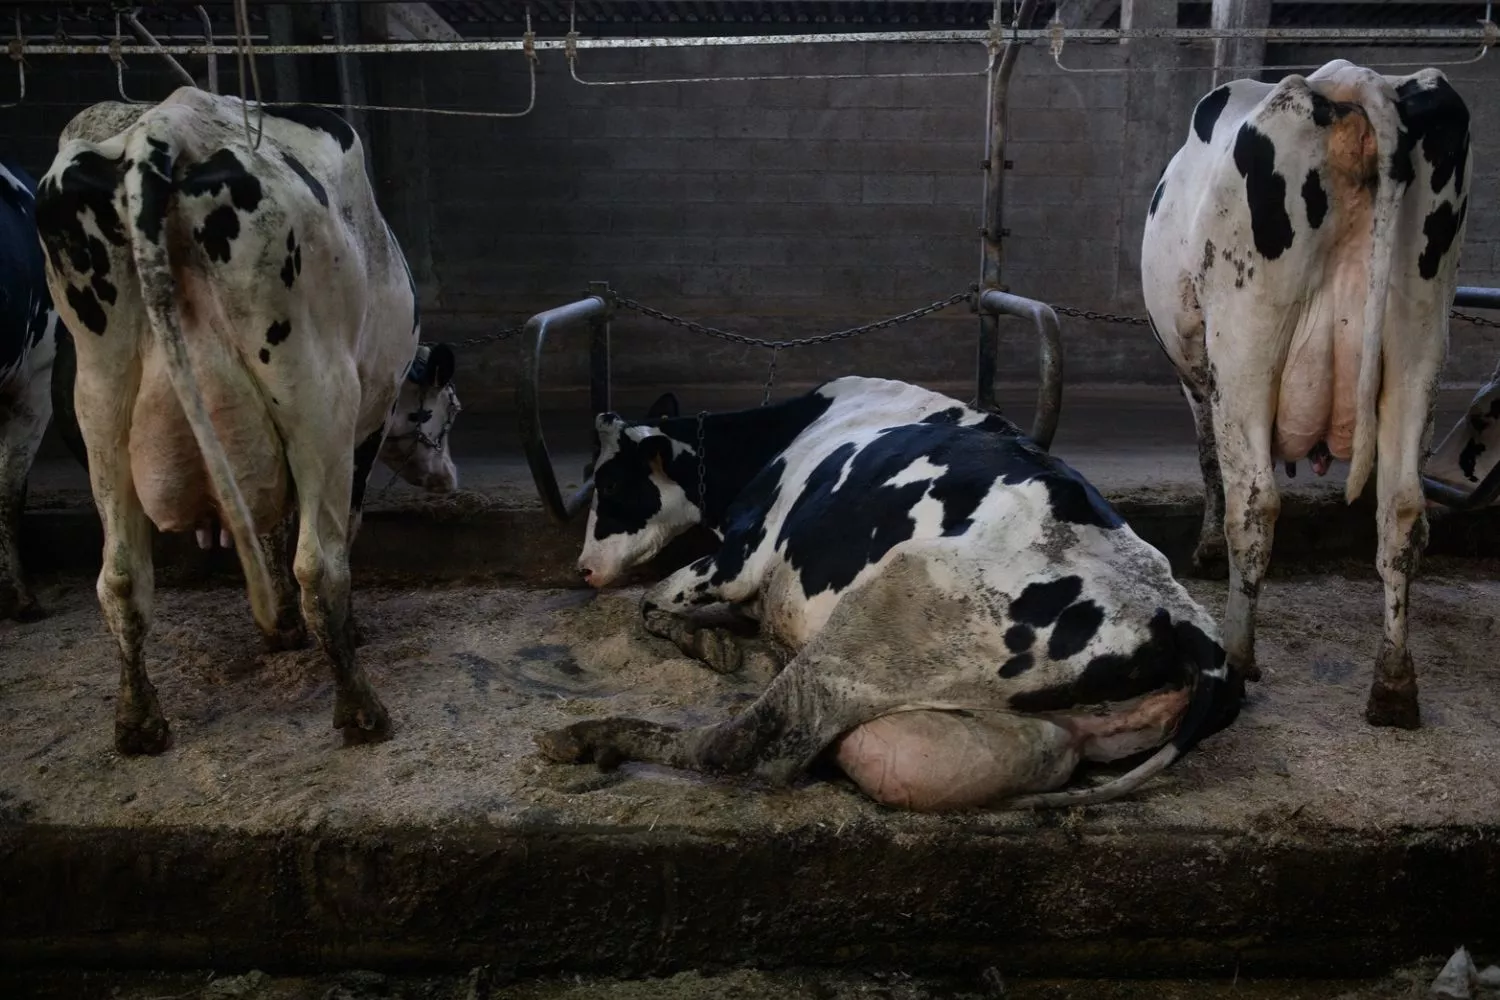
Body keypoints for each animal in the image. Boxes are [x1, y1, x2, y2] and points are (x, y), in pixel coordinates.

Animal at [33, 87, 455, 753]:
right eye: (446, 410)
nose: (448, 479)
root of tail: (165, 124)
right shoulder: (364, 426)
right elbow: (326, 534)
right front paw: (323, 628)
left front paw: (279, 626)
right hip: (315, 397)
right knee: (319, 566)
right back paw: (361, 711)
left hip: (101, 408)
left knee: (121, 578)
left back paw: (139, 723)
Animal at [534, 377, 1242, 811]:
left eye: (611, 484)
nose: (583, 568)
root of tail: (1183, 619)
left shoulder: (742, 554)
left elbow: (653, 601)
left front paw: (711, 645)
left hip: (888, 606)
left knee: (754, 743)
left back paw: (588, 737)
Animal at [1141, 59, 1471, 730]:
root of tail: (1357, 84)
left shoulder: (1199, 374)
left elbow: (1209, 460)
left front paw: (1205, 552)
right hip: (1419, 339)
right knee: (1402, 508)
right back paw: (1393, 687)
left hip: (1246, 337)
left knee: (1256, 504)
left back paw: (1239, 659)